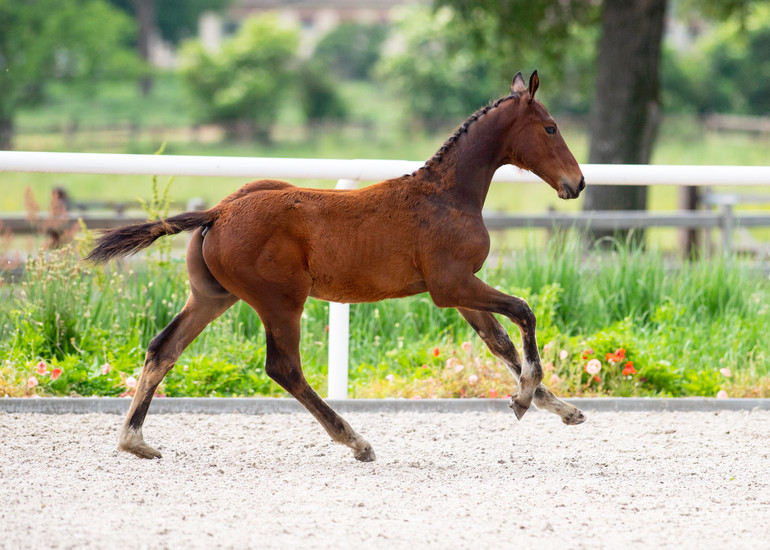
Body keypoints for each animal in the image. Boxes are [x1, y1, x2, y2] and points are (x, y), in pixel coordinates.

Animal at [87, 71, 584, 464]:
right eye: (550, 127)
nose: (577, 183)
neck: (448, 195)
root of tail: (218, 212)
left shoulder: (459, 290)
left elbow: (501, 344)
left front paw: (560, 408)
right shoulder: (453, 286)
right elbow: (523, 313)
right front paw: (523, 397)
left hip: (212, 296)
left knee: (163, 348)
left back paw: (134, 441)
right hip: (281, 301)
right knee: (284, 368)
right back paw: (356, 441)